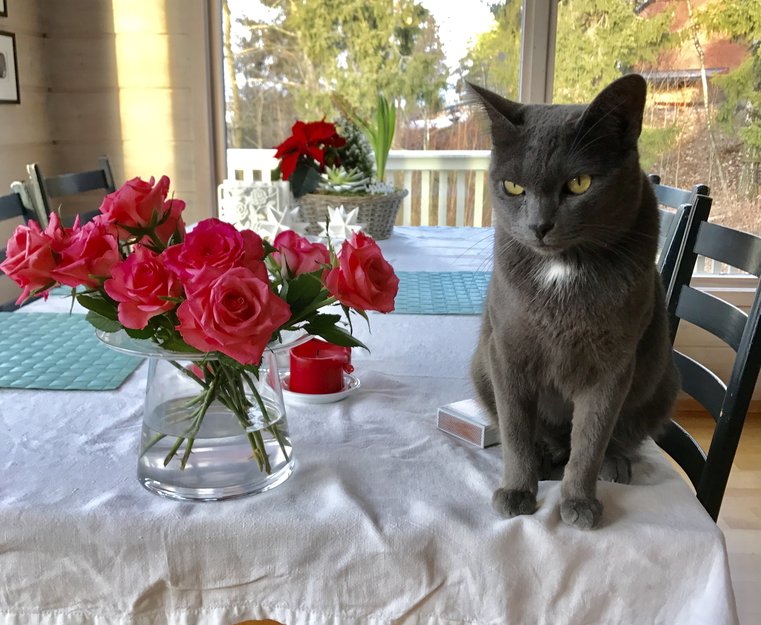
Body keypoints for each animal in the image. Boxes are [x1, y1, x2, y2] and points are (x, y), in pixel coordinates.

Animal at [468, 74, 680, 529]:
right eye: (514, 187)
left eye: (579, 183)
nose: (539, 225)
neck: (563, 270)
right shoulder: (506, 353)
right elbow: (515, 429)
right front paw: (518, 490)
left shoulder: (613, 364)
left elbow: (592, 436)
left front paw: (580, 501)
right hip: (479, 366)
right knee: (537, 432)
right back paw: (547, 456)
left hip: (664, 380)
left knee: (618, 435)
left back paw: (613, 464)